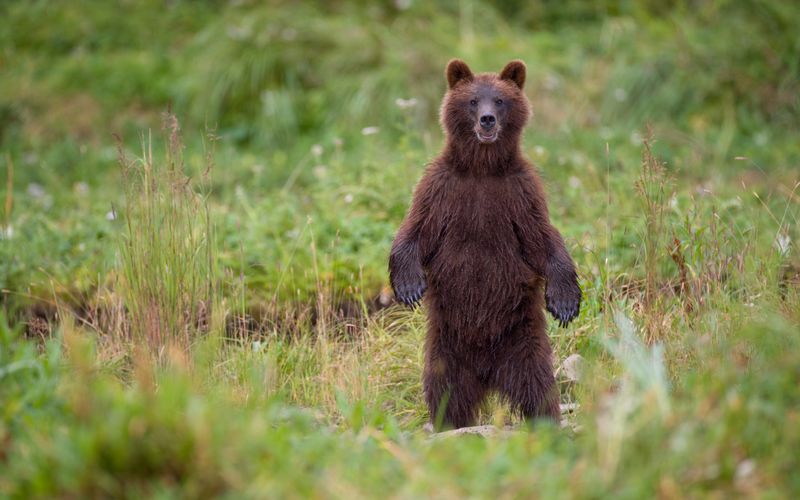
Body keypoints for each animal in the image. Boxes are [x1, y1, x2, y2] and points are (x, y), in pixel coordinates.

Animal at [390, 57, 580, 426]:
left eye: (501, 100)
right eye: (473, 100)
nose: (487, 118)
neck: (482, 168)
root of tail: (488, 375)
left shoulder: (519, 194)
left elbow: (544, 240)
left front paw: (565, 301)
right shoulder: (442, 190)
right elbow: (416, 231)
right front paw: (408, 287)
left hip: (523, 340)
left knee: (538, 387)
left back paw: (545, 420)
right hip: (446, 346)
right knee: (446, 390)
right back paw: (448, 423)